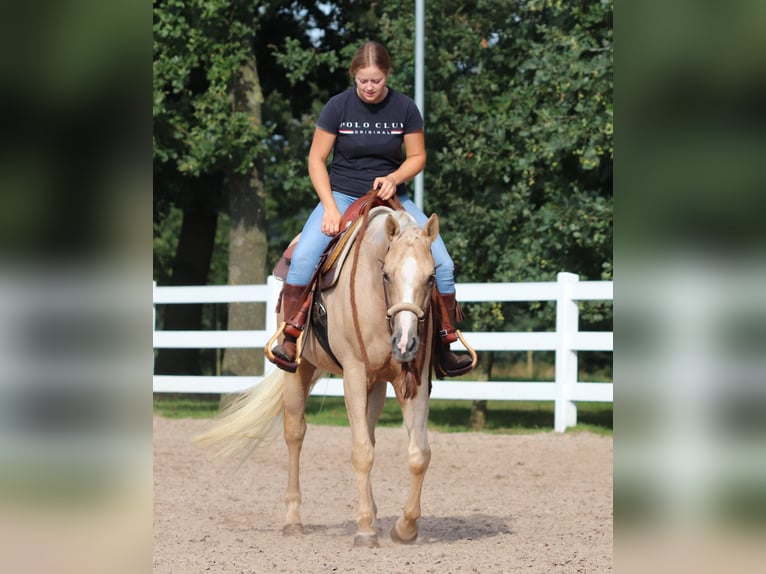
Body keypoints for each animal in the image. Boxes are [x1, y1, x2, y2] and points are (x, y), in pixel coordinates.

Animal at [195, 208, 440, 548]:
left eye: (431, 277)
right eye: (387, 274)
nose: (405, 342)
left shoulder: (411, 381)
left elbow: (419, 454)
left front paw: (405, 528)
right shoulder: (353, 373)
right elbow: (361, 452)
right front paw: (365, 531)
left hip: (375, 385)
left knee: (369, 434)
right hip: (299, 371)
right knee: (295, 434)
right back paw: (294, 520)